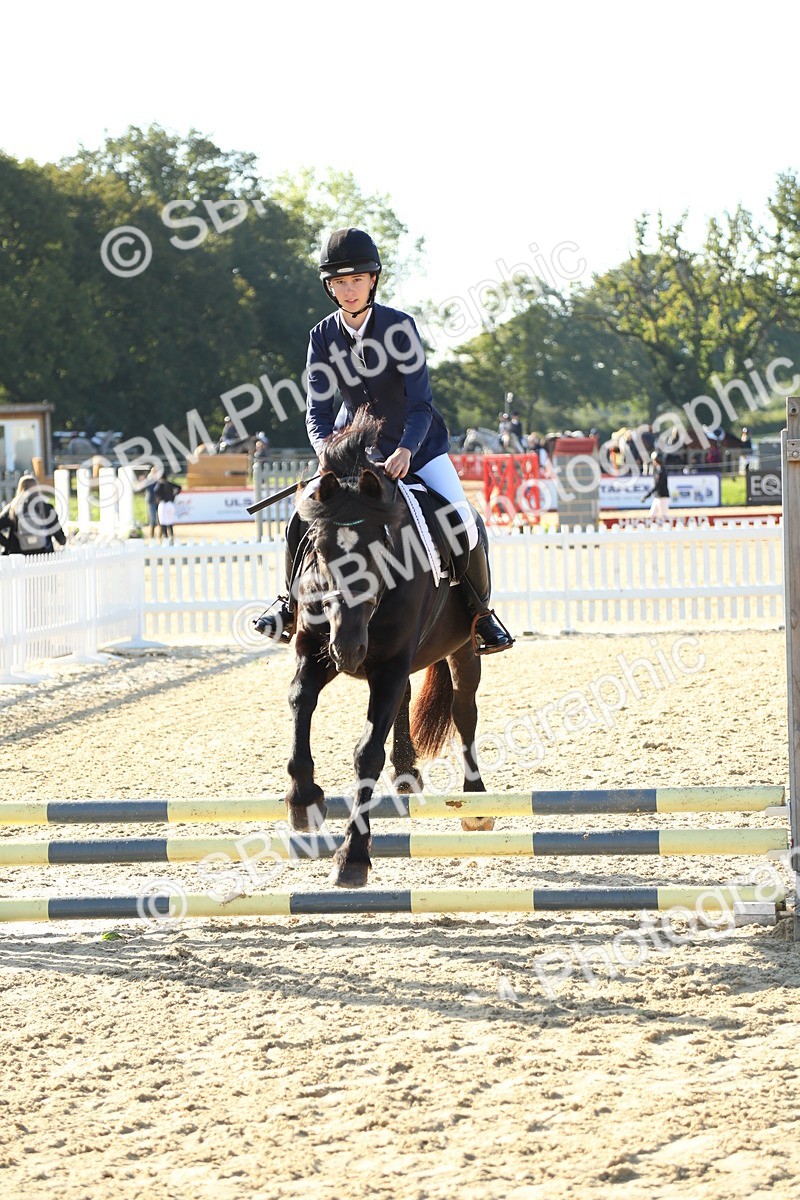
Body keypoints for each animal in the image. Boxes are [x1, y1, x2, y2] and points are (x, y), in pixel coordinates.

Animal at [284, 411, 492, 888]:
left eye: (381, 549)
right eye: (318, 547)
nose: (349, 650)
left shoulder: (391, 664)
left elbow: (366, 753)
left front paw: (353, 858)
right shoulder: (315, 650)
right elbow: (300, 699)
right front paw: (303, 800)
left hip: (464, 649)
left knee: (464, 711)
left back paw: (475, 803)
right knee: (406, 701)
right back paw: (407, 774)